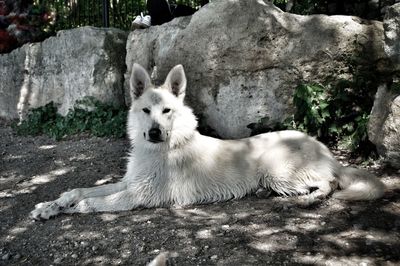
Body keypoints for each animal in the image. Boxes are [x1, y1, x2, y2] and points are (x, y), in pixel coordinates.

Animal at [29, 63, 386, 219]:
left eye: (167, 111)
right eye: (146, 111)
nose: (154, 132)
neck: (161, 150)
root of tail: (325, 151)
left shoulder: (141, 196)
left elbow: (91, 203)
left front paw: (67, 210)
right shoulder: (129, 183)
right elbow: (81, 190)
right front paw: (51, 205)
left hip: (277, 169)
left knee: (330, 183)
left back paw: (310, 199)